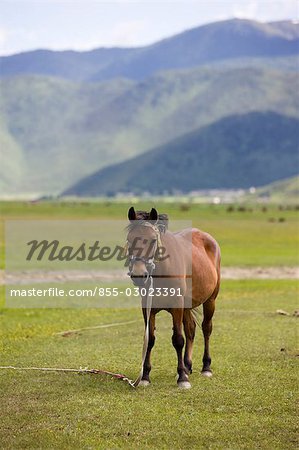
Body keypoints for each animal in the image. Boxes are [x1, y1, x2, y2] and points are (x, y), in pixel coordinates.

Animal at [125, 207, 221, 386]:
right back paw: (187, 366)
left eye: (153, 240)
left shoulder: (177, 305)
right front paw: (145, 376)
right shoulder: (148, 307)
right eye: (129, 240)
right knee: (191, 328)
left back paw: (205, 367)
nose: (139, 275)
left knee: (206, 328)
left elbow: (178, 339)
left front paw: (182, 378)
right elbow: (150, 339)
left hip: (210, 301)